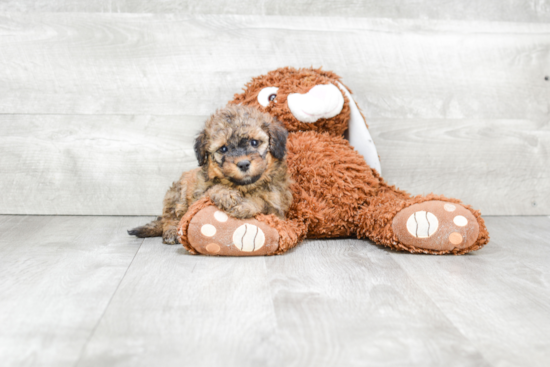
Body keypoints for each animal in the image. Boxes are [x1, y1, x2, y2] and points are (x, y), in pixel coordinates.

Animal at [129, 105, 294, 246]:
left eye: (254, 142)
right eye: (224, 149)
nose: (243, 164)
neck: (245, 186)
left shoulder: (277, 206)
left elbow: (261, 200)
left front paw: (245, 204)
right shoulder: (198, 195)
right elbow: (213, 188)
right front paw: (226, 194)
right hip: (176, 193)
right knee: (170, 216)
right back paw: (171, 231)